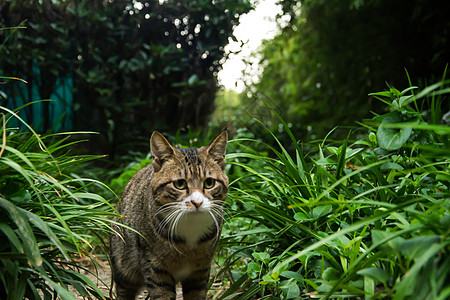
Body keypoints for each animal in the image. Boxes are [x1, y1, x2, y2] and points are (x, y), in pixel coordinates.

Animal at [109, 132, 229, 300]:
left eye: (209, 182)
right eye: (179, 184)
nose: (197, 202)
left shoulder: (200, 270)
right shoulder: (155, 267)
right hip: (123, 265)